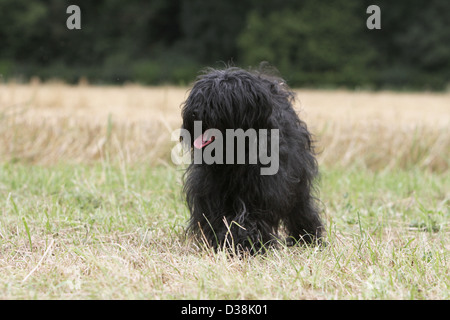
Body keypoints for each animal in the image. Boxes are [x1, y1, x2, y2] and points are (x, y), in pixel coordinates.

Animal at [181, 67, 326, 252]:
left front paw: (244, 244)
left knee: (301, 209)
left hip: (297, 183)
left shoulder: (261, 191)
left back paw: (307, 238)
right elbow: (217, 217)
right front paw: (222, 242)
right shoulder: (211, 191)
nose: (193, 112)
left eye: (219, 99)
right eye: (197, 98)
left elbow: (249, 219)